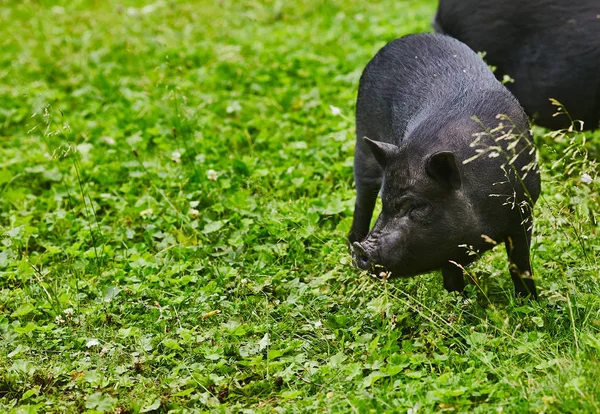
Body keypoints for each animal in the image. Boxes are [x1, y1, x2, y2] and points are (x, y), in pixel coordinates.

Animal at [346, 33, 540, 298]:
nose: (362, 251)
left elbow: (520, 263)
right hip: (363, 141)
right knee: (363, 198)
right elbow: (451, 278)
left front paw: (528, 300)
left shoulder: (524, 210)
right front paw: (460, 302)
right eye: (385, 203)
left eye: (418, 206)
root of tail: (401, 40)